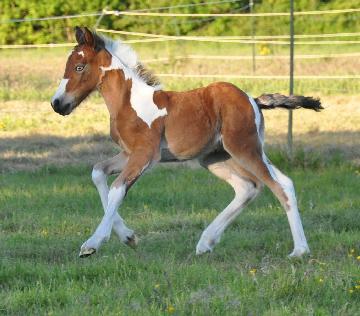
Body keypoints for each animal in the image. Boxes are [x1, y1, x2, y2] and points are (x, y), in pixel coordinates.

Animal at [50, 27, 320, 258]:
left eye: (79, 67)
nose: (57, 103)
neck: (129, 102)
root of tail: (253, 100)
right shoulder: (128, 153)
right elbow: (98, 173)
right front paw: (128, 237)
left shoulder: (145, 154)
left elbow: (117, 189)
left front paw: (93, 243)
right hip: (217, 157)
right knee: (254, 186)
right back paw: (205, 243)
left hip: (244, 149)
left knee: (276, 187)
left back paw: (300, 250)